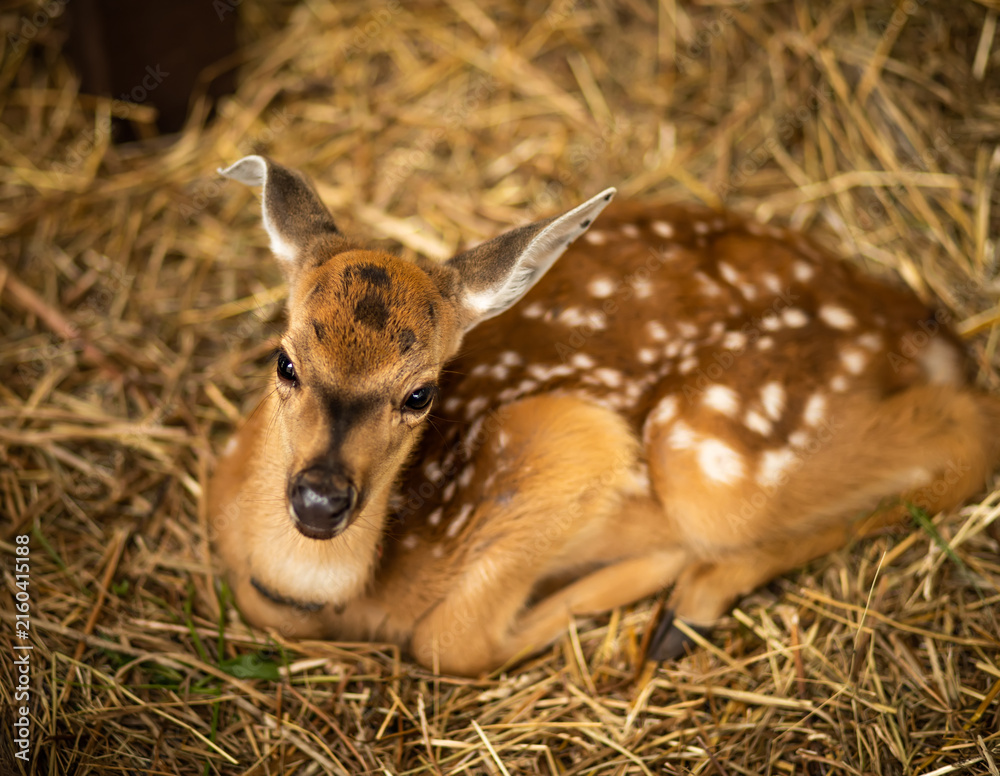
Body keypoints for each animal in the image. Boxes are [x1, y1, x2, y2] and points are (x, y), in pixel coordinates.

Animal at [208, 155, 1000, 676]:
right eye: (284, 361)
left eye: (420, 394)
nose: (320, 497)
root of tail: (916, 327)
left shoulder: (568, 442)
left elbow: (451, 643)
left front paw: (637, 575)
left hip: (707, 454)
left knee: (968, 430)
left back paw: (686, 606)